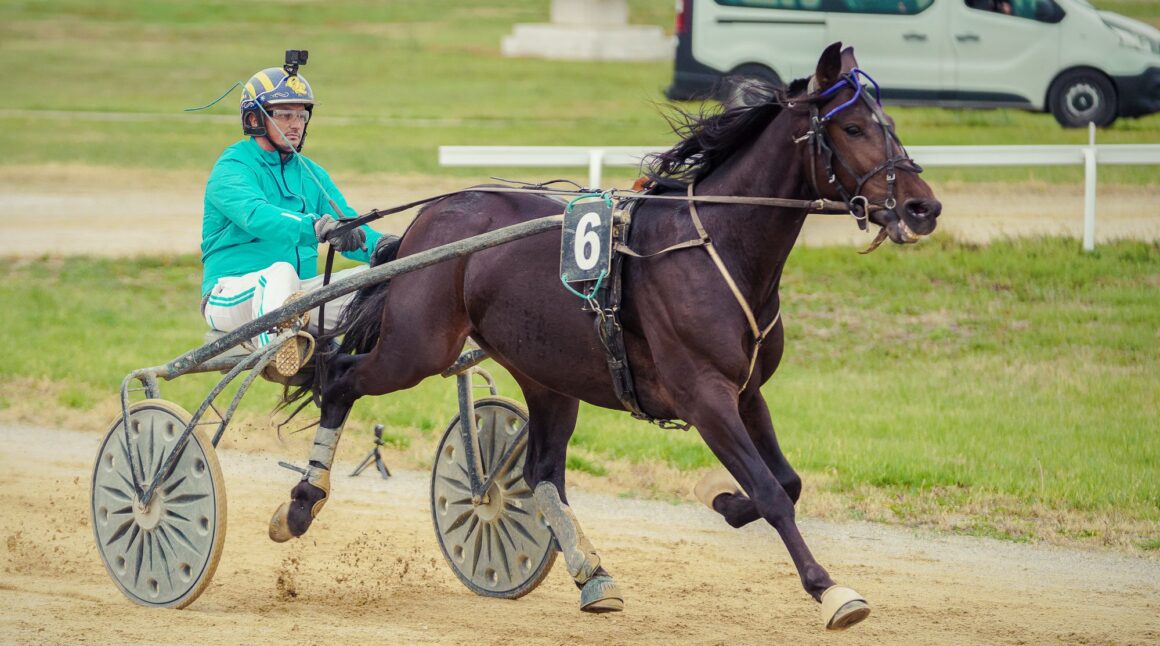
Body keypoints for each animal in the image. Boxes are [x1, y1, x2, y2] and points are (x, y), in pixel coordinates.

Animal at [273, 41, 941, 630]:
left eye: (890, 123)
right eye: (852, 128)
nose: (923, 208)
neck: (716, 247)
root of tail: (429, 220)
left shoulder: (747, 392)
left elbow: (788, 483)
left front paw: (726, 502)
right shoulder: (704, 395)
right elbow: (774, 494)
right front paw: (830, 591)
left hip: (546, 372)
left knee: (541, 471)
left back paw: (593, 575)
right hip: (418, 347)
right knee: (340, 380)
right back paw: (301, 503)